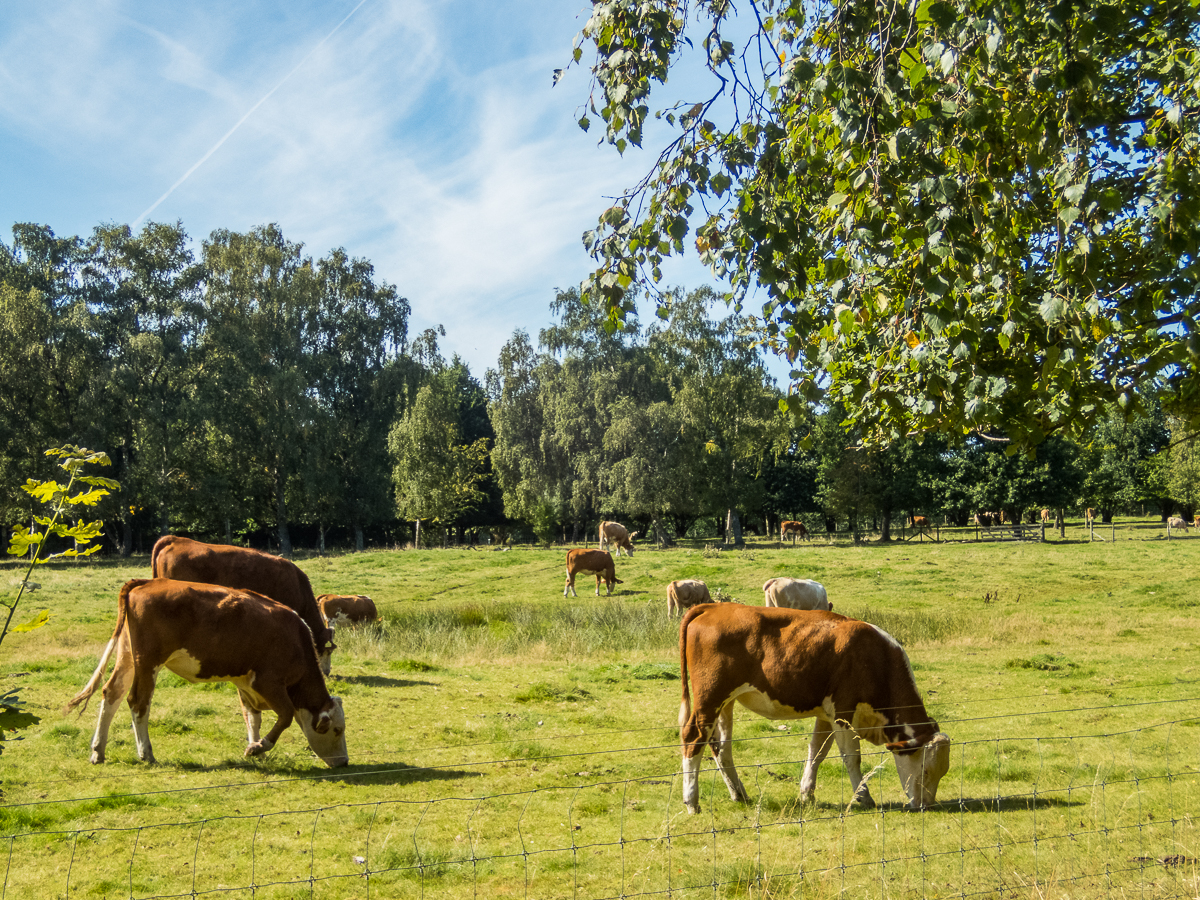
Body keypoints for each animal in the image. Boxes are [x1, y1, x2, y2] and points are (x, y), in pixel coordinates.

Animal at [66, 585, 350, 768]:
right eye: (337, 730)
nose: (344, 762)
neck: (296, 642)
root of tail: (144, 583)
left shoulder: (245, 682)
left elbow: (252, 718)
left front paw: (255, 747)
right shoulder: (269, 682)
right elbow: (286, 716)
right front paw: (259, 747)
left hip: (128, 658)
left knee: (111, 694)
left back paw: (98, 751)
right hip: (148, 663)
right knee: (138, 702)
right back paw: (146, 753)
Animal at [681, 607, 950, 816]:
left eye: (943, 773)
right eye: (925, 770)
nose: (926, 806)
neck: (877, 659)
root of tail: (712, 607)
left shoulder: (825, 715)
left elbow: (817, 752)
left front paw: (807, 794)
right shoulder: (843, 711)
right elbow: (851, 757)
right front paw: (863, 797)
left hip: (726, 704)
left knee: (721, 748)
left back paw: (739, 795)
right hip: (710, 699)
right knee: (693, 739)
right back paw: (692, 802)